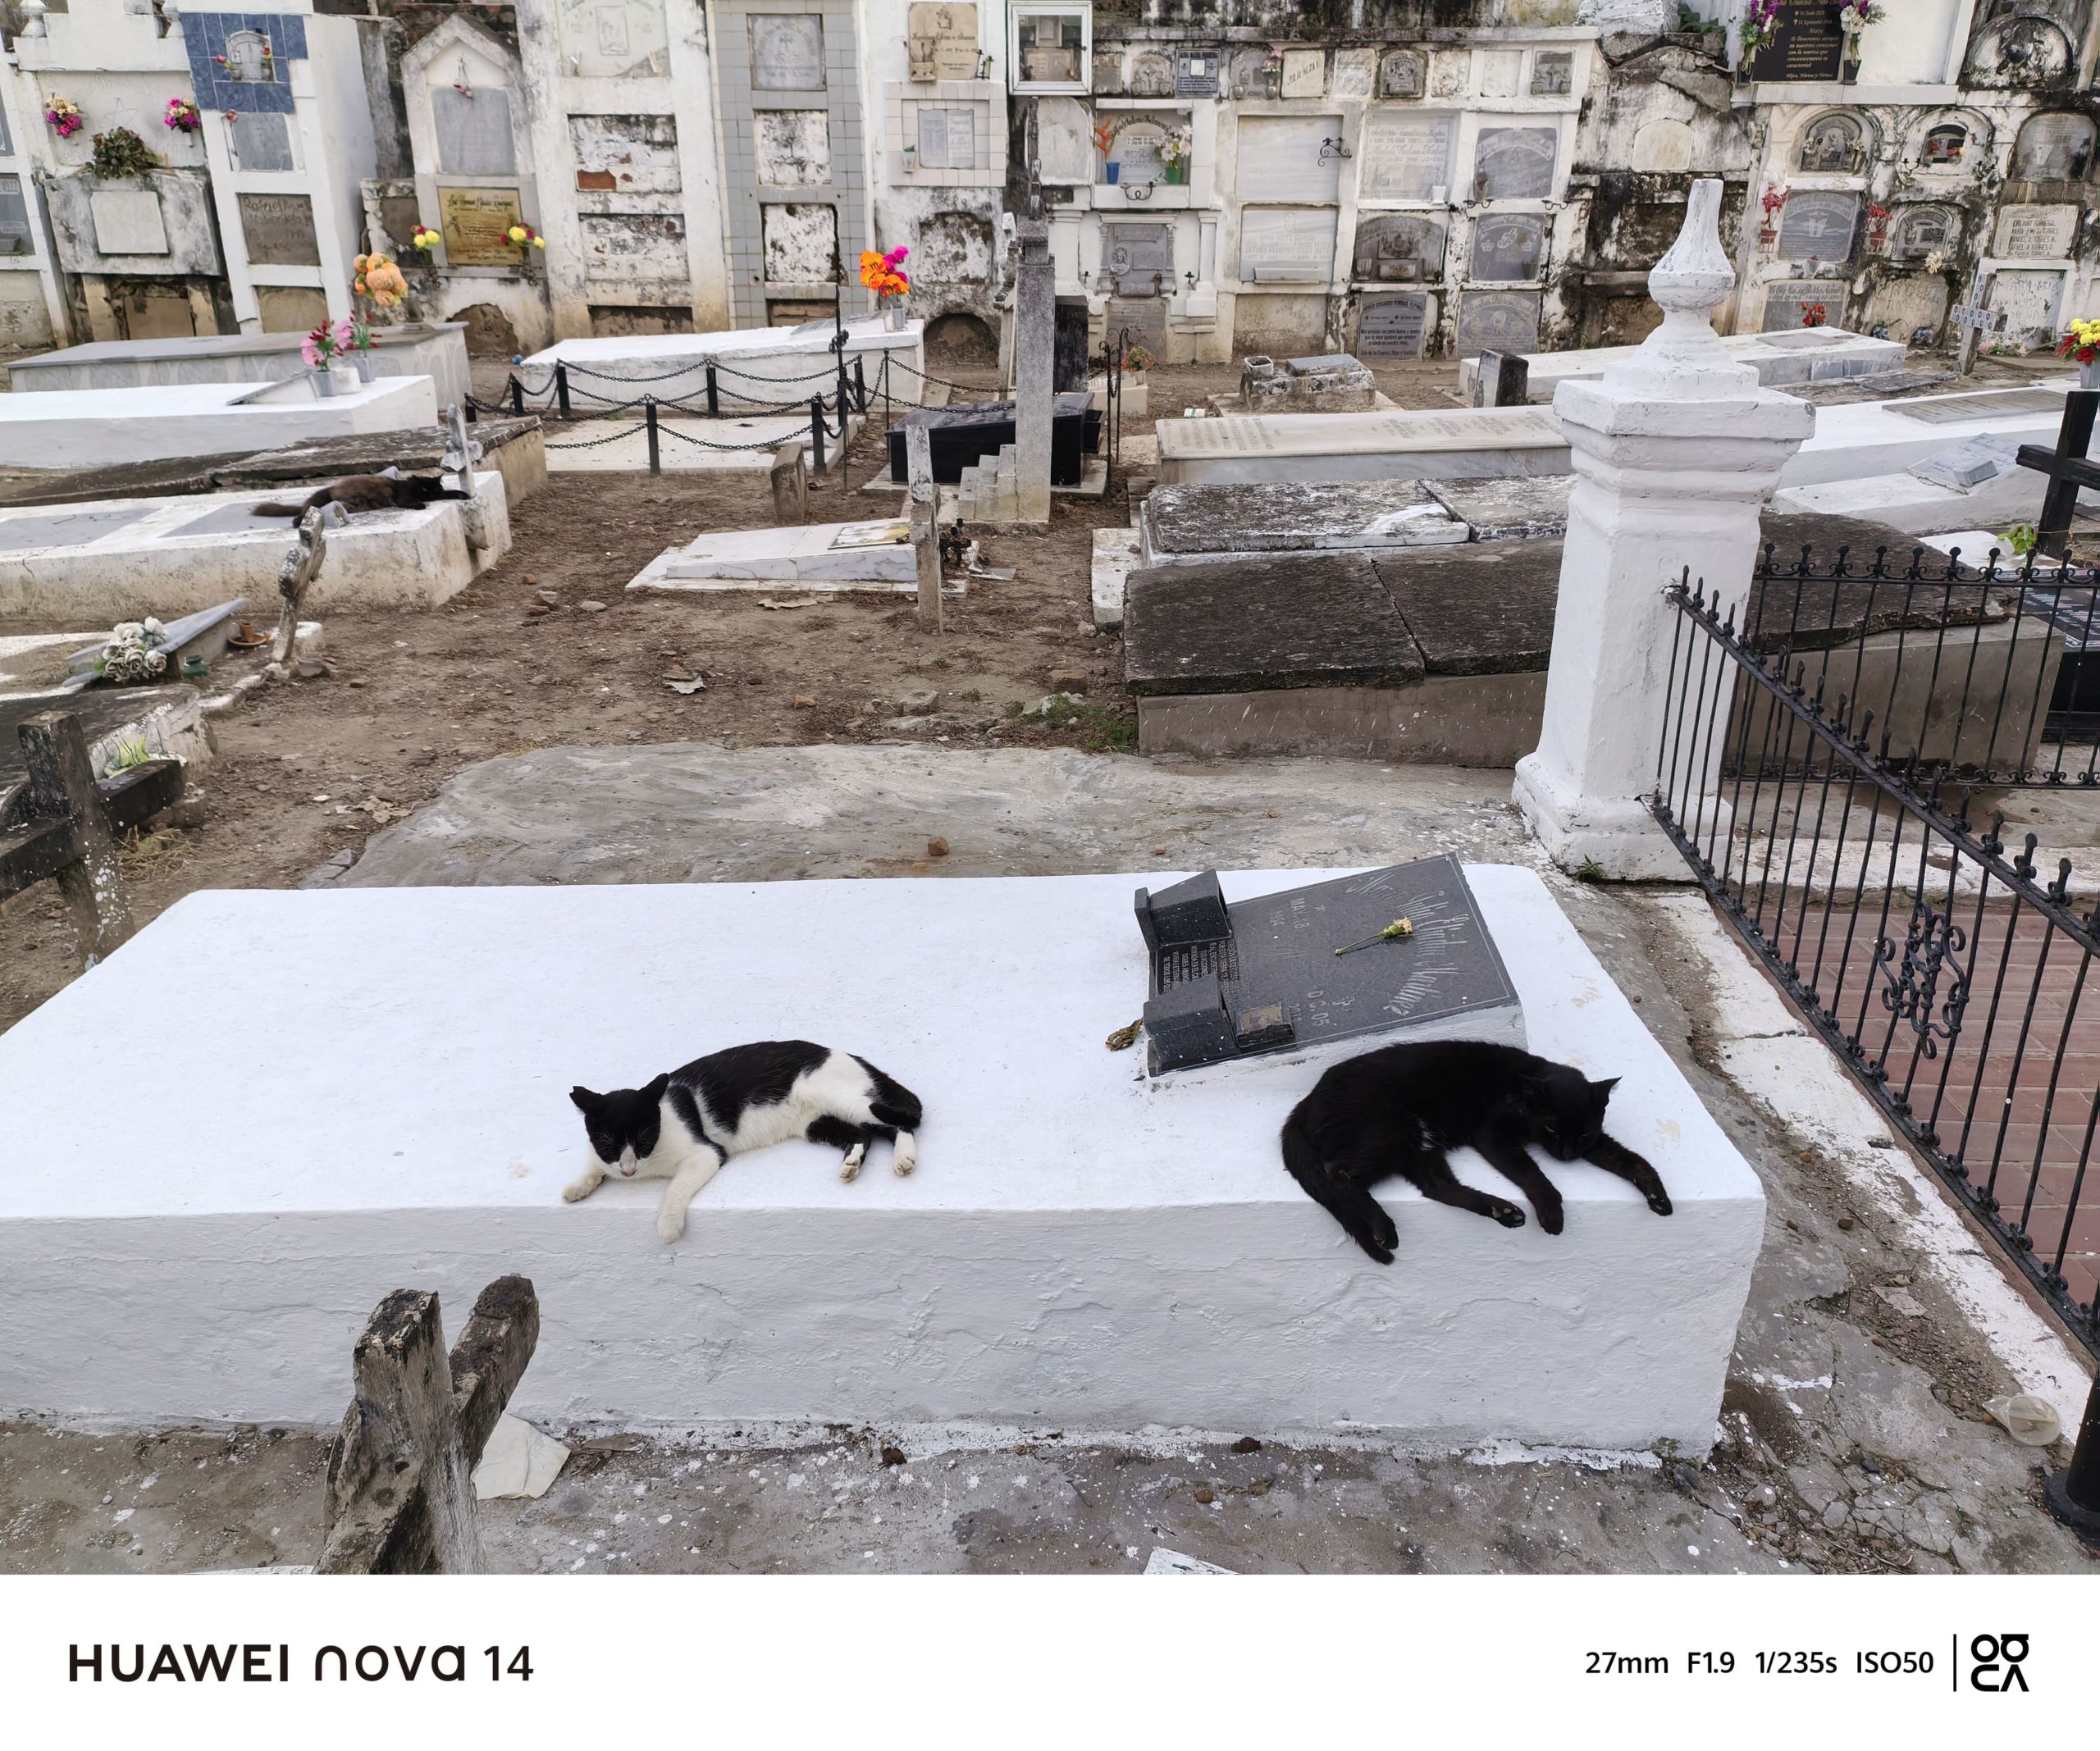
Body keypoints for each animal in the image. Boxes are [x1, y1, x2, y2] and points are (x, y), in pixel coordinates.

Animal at [565, 1039, 923, 1242]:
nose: (628, 1170)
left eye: (643, 1140)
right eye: (609, 1144)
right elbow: (593, 1166)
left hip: (842, 1100)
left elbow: (675, 1188)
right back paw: (850, 1165)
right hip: (815, 1122)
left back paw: (904, 1158)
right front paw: (577, 1186)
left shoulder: (706, 1154)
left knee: (900, 1121)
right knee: (863, 1133)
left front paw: (668, 1225)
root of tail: (846, 1054)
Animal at [1279, 1039, 1671, 1264]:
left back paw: (1503, 1211)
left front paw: (1659, 1197)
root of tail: (1306, 1102)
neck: (1524, 1084)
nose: (1566, 1154)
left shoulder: (1596, 1143)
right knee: (1339, 1175)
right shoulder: (1493, 1135)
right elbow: (1532, 1173)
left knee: (1437, 1187)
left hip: (1419, 1145)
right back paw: (1383, 1228)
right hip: (1389, 1134)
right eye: (1551, 1129)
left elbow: (1632, 1159)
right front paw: (1551, 1211)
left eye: (1584, 1132)